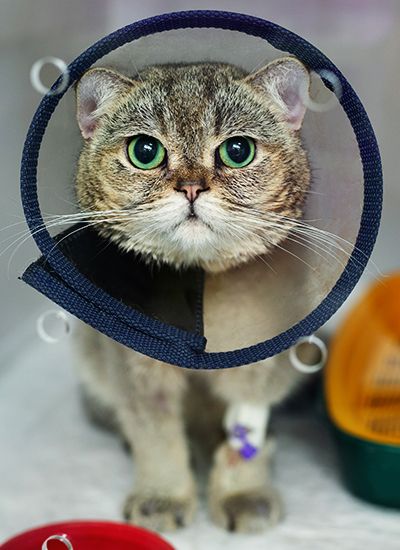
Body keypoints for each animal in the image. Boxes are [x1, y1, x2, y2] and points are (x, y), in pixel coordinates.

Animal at [72, 57, 310, 536]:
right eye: (145, 152)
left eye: (238, 151)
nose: (191, 188)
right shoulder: (136, 373)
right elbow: (157, 437)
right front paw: (162, 498)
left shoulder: (260, 367)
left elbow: (244, 435)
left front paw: (242, 494)